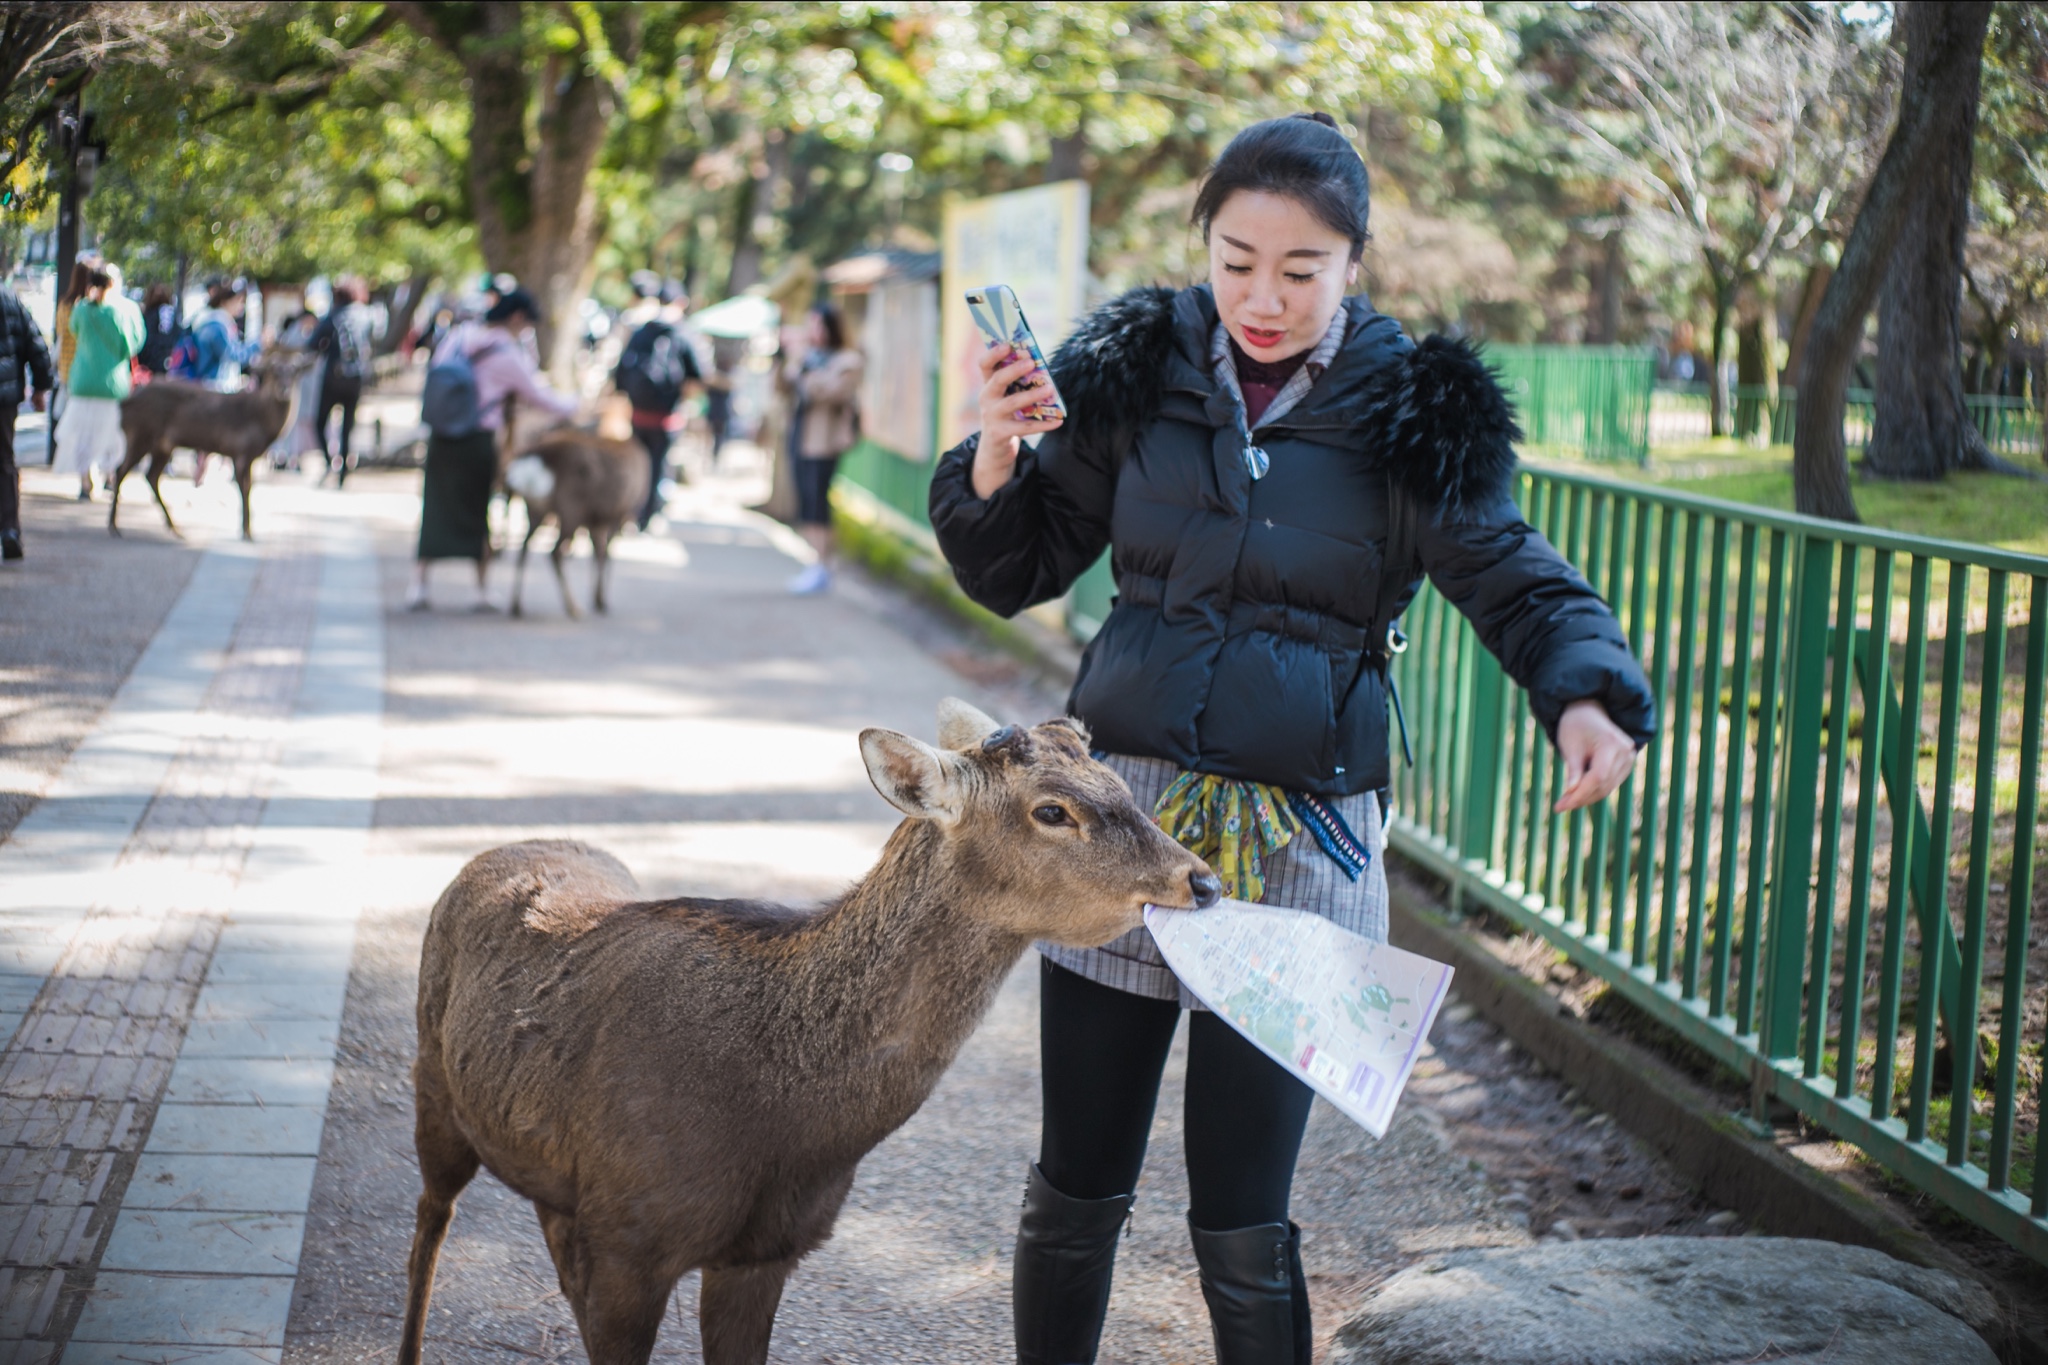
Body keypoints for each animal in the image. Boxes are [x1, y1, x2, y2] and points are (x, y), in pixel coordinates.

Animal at [109, 349, 319, 540]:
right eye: (273, 372)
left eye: (295, 372)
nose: (284, 389)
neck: (263, 427)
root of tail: (126, 402)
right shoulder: (241, 451)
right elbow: (245, 490)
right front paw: (246, 532)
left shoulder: (245, 455)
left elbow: (248, 488)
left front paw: (247, 530)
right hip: (141, 433)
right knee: (121, 471)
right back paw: (114, 526)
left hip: (162, 445)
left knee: (151, 476)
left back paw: (174, 527)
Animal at [407, 703, 1220, 1365]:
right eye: (1052, 810)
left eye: (1117, 782)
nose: (1205, 880)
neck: (785, 1127)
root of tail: (499, 850)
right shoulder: (629, 1241)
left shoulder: (767, 1250)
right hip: (434, 1083)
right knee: (430, 1222)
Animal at [501, 427, 647, 618]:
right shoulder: (618, 512)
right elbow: (606, 554)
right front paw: (601, 600)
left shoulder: (595, 520)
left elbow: (597, 552)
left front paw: (596, 598)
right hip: (571, 508)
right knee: (554, 552)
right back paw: (573, 607)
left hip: (535, 508)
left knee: (524, 546)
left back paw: (516, 605)